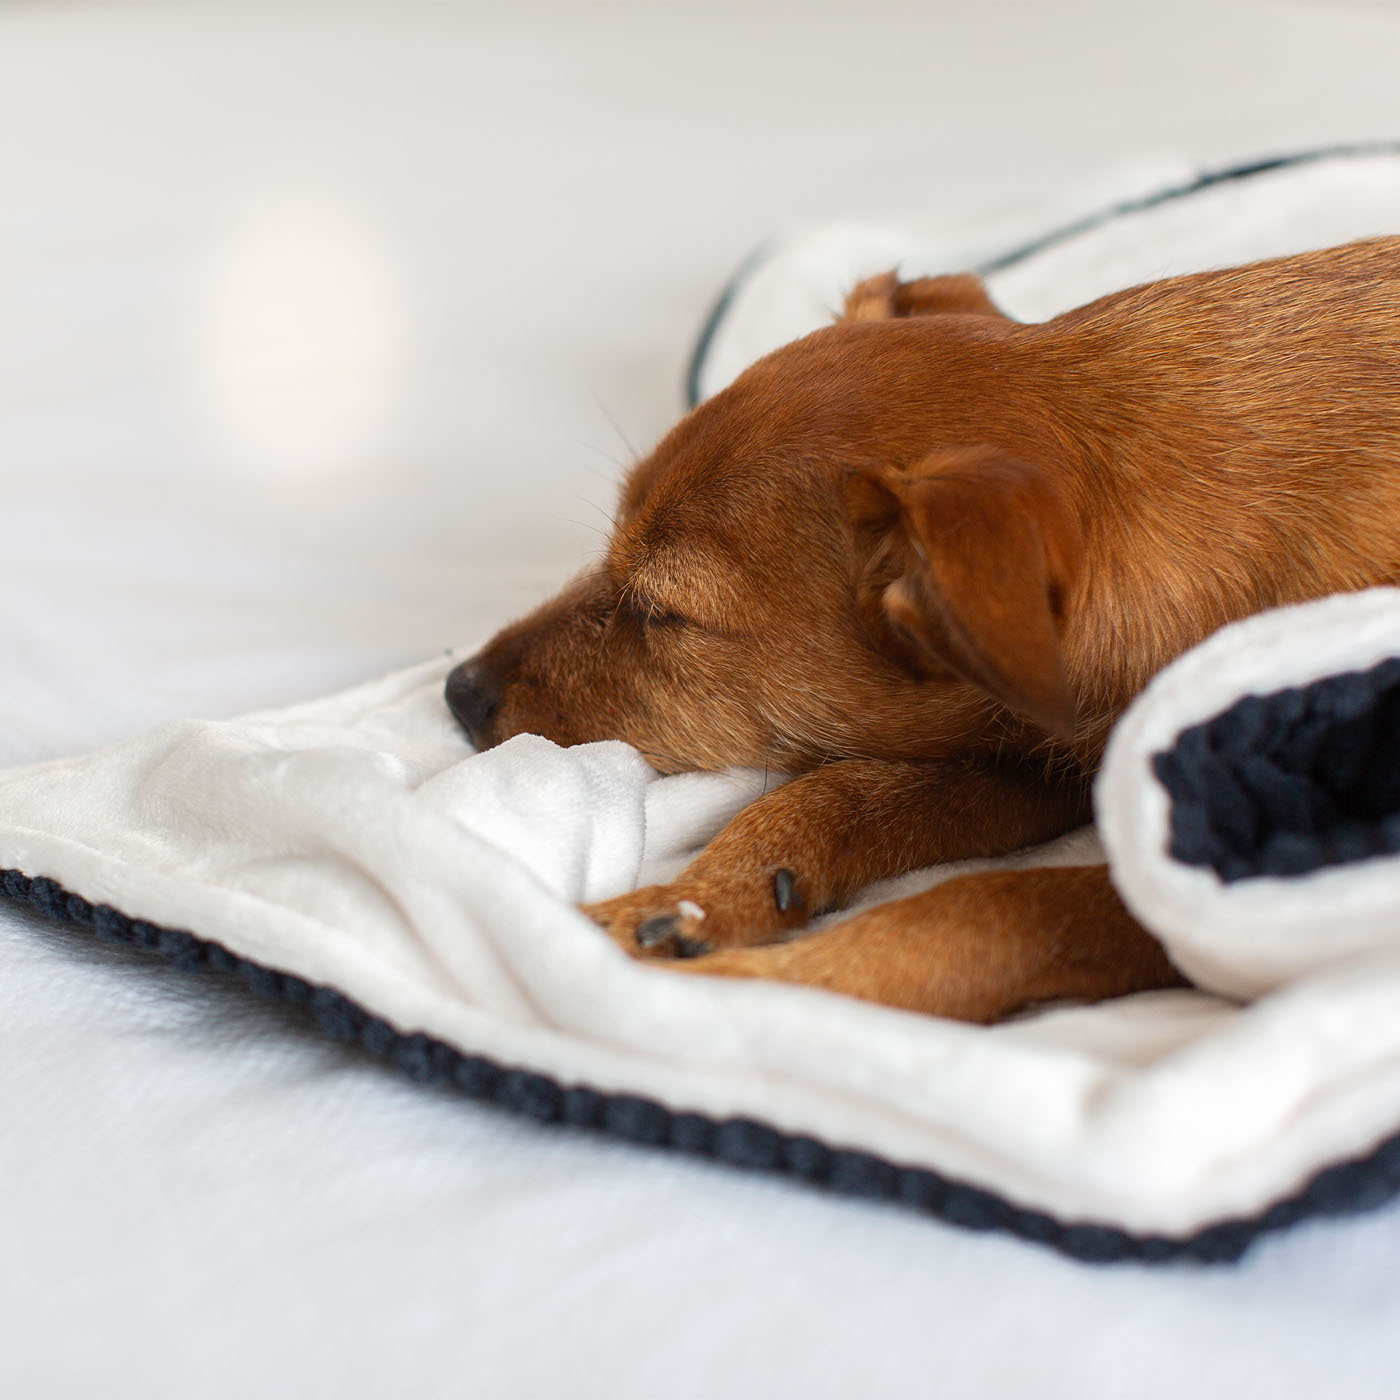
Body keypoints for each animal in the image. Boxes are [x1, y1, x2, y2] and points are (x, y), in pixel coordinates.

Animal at [445, 240, 1400, 1024]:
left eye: (660, 610)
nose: (458, 692)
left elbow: (982, 908)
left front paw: (740, 990)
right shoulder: (1033, 745)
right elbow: (838, 791)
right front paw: (691, 902)